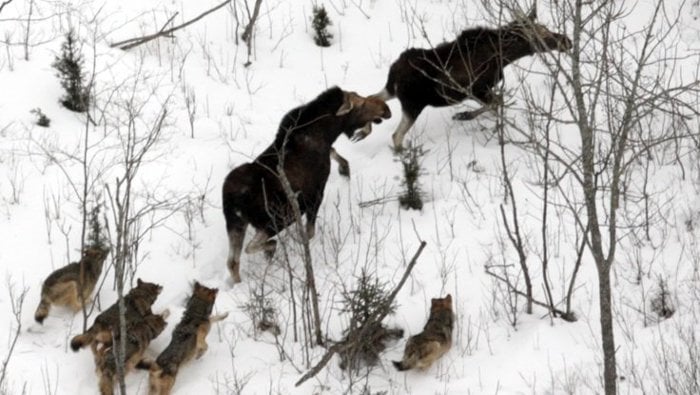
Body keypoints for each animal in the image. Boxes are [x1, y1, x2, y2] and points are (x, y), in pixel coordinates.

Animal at [221, 88, 392, 284]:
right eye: (360, 103)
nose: (385, 108)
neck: (327, 134)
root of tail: (233, 199)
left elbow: (333, 151)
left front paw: (344, 168)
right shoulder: (315, 194)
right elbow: (309, 232)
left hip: (236, 223)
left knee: (232, 261)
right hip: (277, 219)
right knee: (250, 247)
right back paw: (271, 248)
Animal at [364, 6, 572, 150]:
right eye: (542, 32)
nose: (567, 41)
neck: (504, 56)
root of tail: (395, 71)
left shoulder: (482, 90)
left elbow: (497, 103)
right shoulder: (478, 89)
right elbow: (497, 102)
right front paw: (463, 116)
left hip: (392, 91)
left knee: (371, 98)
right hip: (413, 104)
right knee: (396, 135)